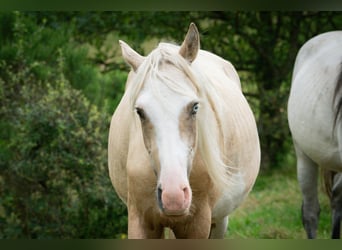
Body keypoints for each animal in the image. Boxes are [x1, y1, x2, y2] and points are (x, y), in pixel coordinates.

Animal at [108, 23, 260, 238]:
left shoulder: (198, 223)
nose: (174, 196)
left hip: (220, 219)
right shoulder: (140, 220)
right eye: (139, 111)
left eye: (195, 107)